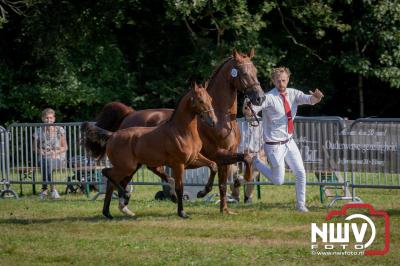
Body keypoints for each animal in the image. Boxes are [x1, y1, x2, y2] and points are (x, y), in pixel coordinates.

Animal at [82, 83, 217, 218]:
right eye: (200, 100)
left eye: (211, 99)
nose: (213, 121)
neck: (182, 132)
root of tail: (112, 134)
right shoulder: (179, 164)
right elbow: (180, 188)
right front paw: (182, 213)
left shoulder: (193, 159)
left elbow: (213, 165)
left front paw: (202, 193)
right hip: (126, 167)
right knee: (106, 173)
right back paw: (124, 197)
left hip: (130, 167)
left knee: (112, 183)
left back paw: (110, 212)